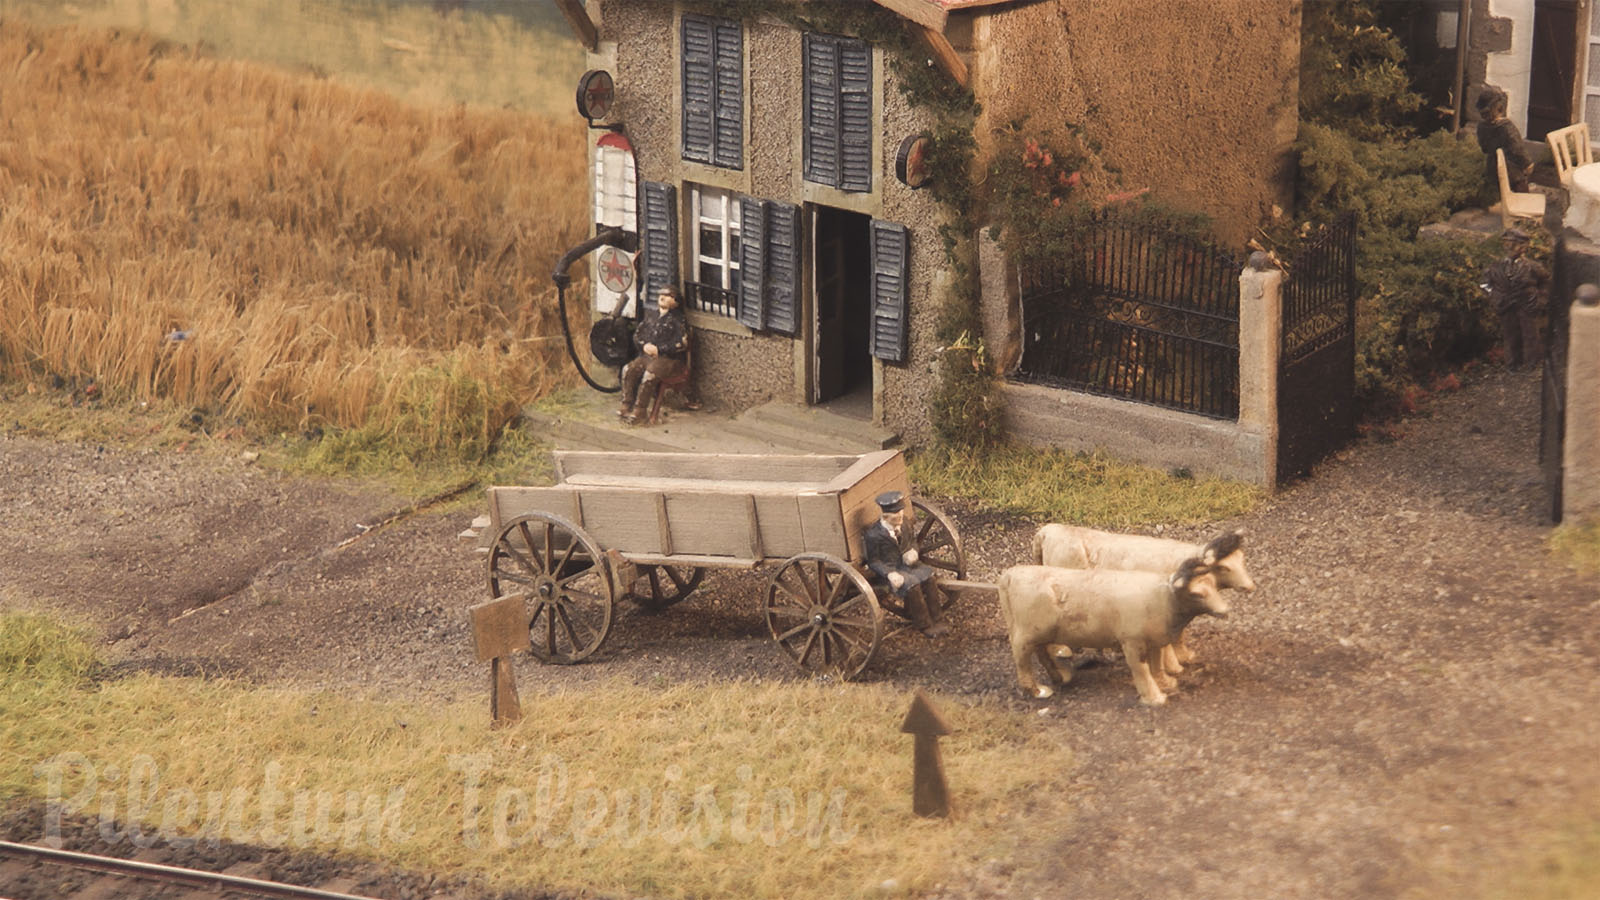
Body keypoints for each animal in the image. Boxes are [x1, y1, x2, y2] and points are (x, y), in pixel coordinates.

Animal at [992, 557, 1228, 704]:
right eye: (1197, 593)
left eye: (1214, 586)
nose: (1225, 611)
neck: (1164, 597)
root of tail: (1009, 575)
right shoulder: (1132, 641)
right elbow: (1141, 669)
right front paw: (1154, 697)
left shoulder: (1154, 639)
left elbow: (1157, 662)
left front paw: (1165, 683)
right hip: (1026, 634)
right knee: (1021, 657)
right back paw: (1036, 690)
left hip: (1041, 632)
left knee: (1042, 652)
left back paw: (1060, 677)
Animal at [1030, 525, 1254, 672]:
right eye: (1224, 567)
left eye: (1242, 559)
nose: (1249, 586)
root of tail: (1048, 531)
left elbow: (1180, 634)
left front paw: (1185, 656)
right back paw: (1063, 650)